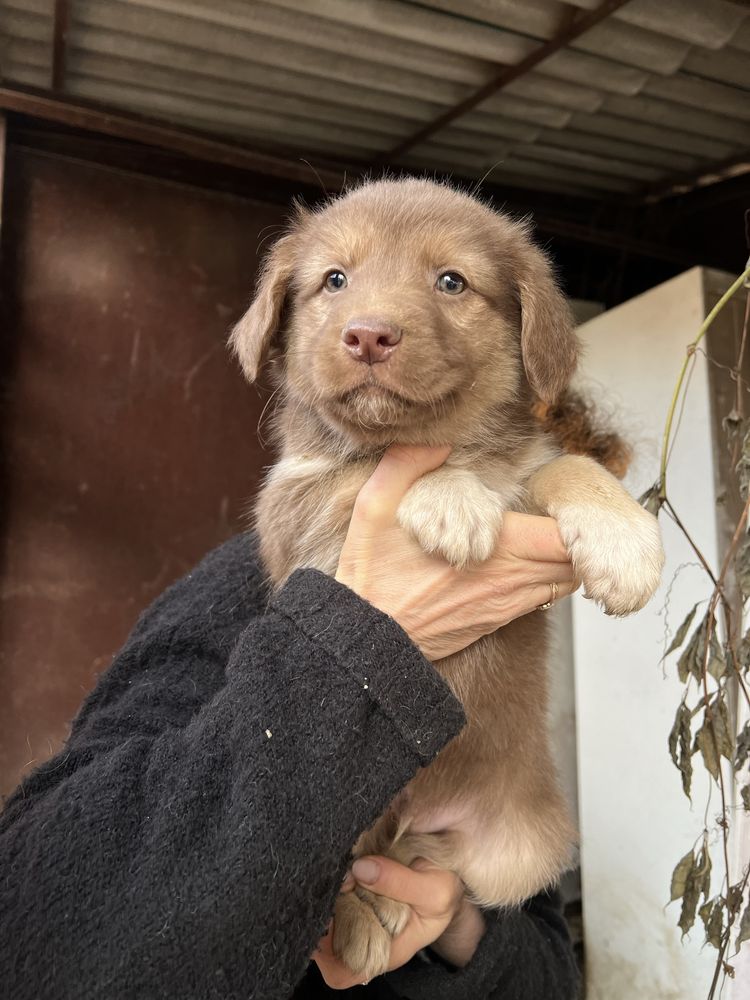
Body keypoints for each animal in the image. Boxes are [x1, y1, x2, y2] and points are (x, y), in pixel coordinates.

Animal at [229, 178, 664, 976]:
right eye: (334, 280)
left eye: (451, 282)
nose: (368, 335)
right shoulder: (293, 503)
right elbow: (368, 466)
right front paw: (449, 496)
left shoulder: (528, 469)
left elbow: (561, 461)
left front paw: (623, 542)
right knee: (348, 860)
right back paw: (359, 919)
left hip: (518, 852)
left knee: (428, 863)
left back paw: (389, 899)